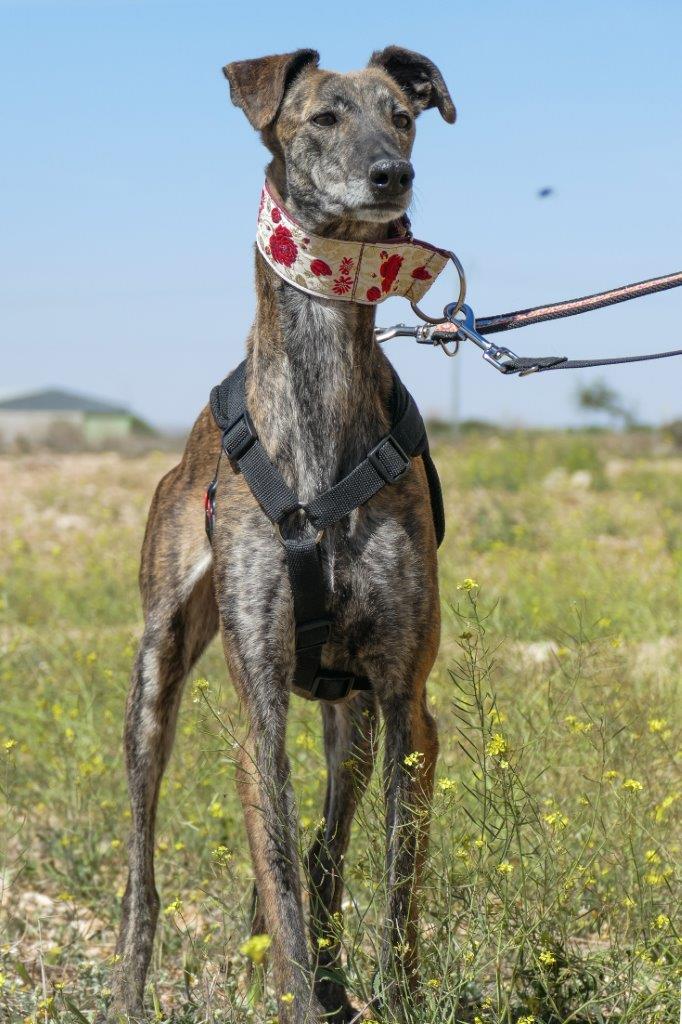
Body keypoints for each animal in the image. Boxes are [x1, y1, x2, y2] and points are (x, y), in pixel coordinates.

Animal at [110, 44, 450, 1019]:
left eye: (402, 116)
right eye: (323, 117)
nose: (392, 175)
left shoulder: (406, 707)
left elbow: (393, 892)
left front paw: (391, 995)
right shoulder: (257, 715)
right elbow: (282, 890)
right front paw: (297, 992)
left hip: (353, 721)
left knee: (325, 854)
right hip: (154, 684)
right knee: (146, 874)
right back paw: (130, 987)